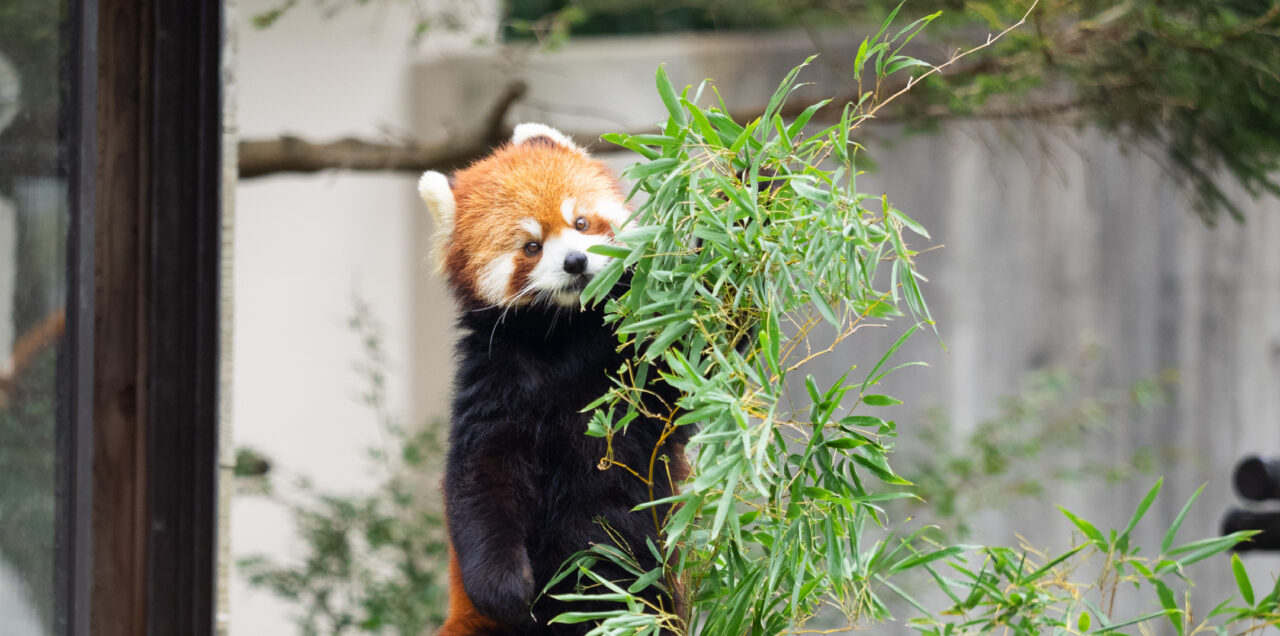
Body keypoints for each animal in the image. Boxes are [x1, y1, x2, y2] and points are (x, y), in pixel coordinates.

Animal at [419, 124, 691, 634]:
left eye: (581, 223)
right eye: (532, 246)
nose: (576, 262)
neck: (564, 335)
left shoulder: (636, 364)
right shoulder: (494, 383)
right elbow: (477, 483)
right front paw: (506, 589)